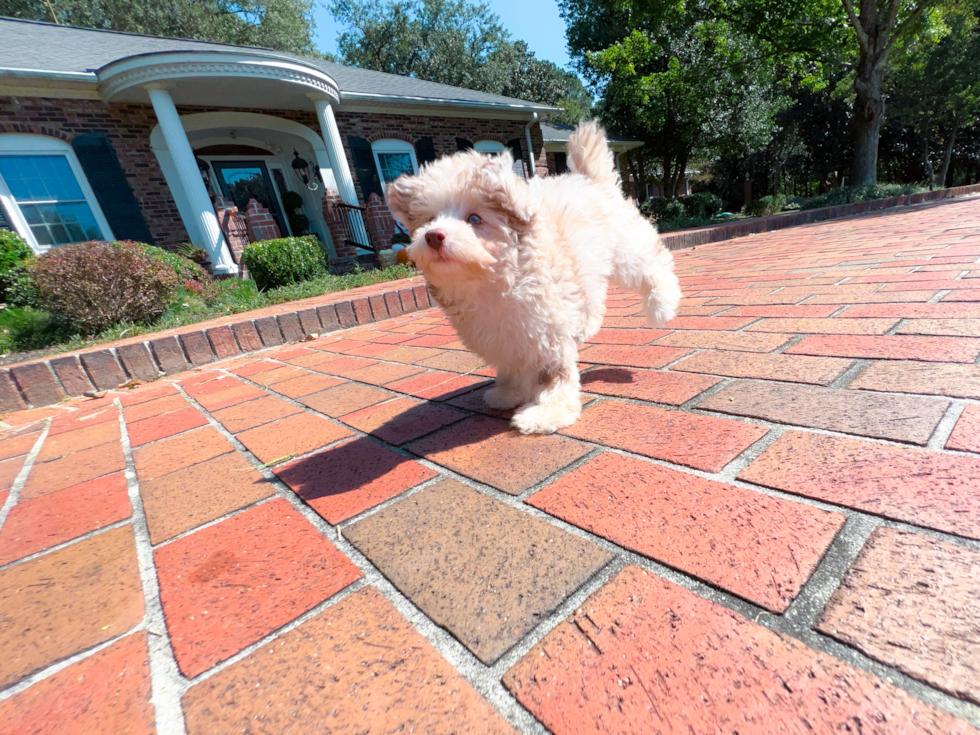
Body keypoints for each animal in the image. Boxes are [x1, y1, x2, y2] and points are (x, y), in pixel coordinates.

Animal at [384, 119, 680, 432]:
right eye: (429, 220)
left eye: (475, 219)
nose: (433, 236)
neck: (489, 280)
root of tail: (588, 179)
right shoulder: (504, 335)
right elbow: (513, 366)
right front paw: (508, 392)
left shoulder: (549, 330)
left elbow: (554, 372)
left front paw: (548, 411)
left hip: (625, 246)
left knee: (653, 264)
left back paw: (662, 305)